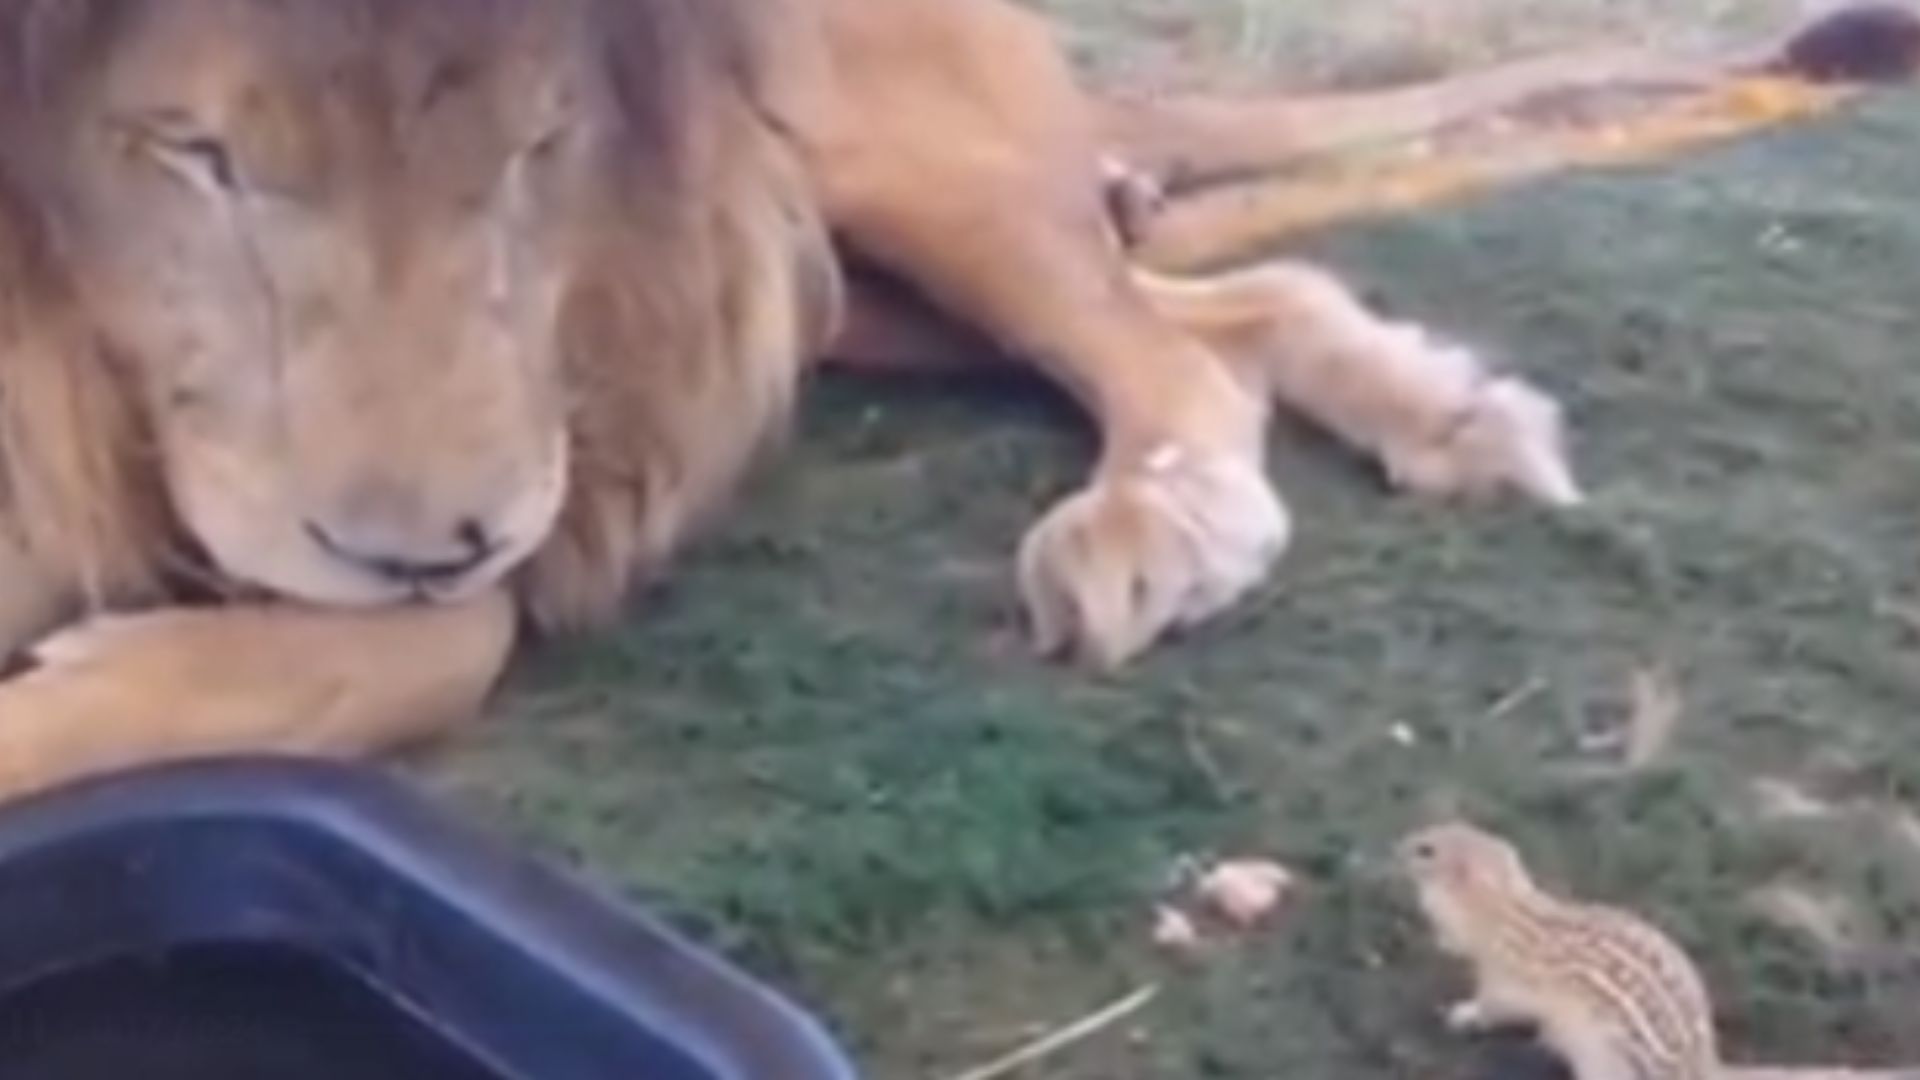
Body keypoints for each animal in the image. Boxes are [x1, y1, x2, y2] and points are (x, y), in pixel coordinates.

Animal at [0, 0, 1766, 799]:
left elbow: (458, 629)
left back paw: (1162, 527)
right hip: (841, 285)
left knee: (1166, 351)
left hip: (865, 164)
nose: (431, 540)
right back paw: (1445, 415)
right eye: (199, 155)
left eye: (540, 147)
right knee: (1231, 300)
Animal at [1397, 814, 1920, 1076]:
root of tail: (1705, 1068)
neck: (1505, 907)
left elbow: (1492, 1005)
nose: (1397, 843)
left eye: (1426, 850)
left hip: (1604, 1060)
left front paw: (1462, 1015)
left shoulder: (1506, 977)